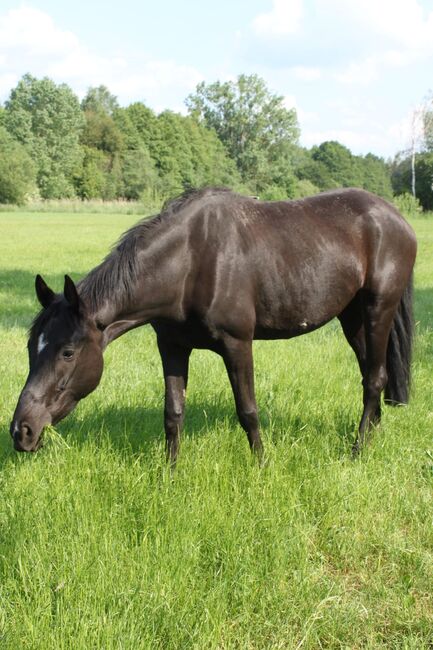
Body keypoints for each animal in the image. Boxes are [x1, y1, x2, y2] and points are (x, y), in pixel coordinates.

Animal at [10, 186, 416, 460]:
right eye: (31, 347)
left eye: (67, 352)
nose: (21, 430)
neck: (191, 261)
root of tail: (396, 218)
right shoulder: (172, 347)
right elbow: (173, 413)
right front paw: (170, 474)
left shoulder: (237, 344)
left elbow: (248, 411)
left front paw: (261, 466)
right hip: (352, 318)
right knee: (371, 374)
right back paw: (371, 435)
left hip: (378, 309)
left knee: (375, 378)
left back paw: (358, 450)